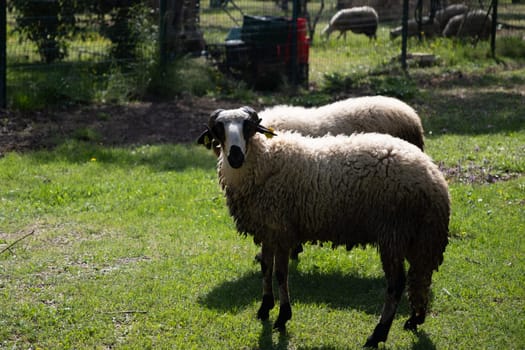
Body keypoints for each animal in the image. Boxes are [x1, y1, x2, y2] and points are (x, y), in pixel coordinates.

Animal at [196, 106, 446, 348]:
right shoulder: (268, 228)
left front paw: (283, 316)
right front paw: (265, 308)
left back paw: (377, 335)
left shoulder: (283, 229)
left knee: (396, 284)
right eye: (218, 129)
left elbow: (281, 274)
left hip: (394, 232)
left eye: (248, 126)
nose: (235, 156)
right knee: (420, 276)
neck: (265, 160)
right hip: (419, 236)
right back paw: (414, 319)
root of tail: (434, 176)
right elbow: (266, 267)